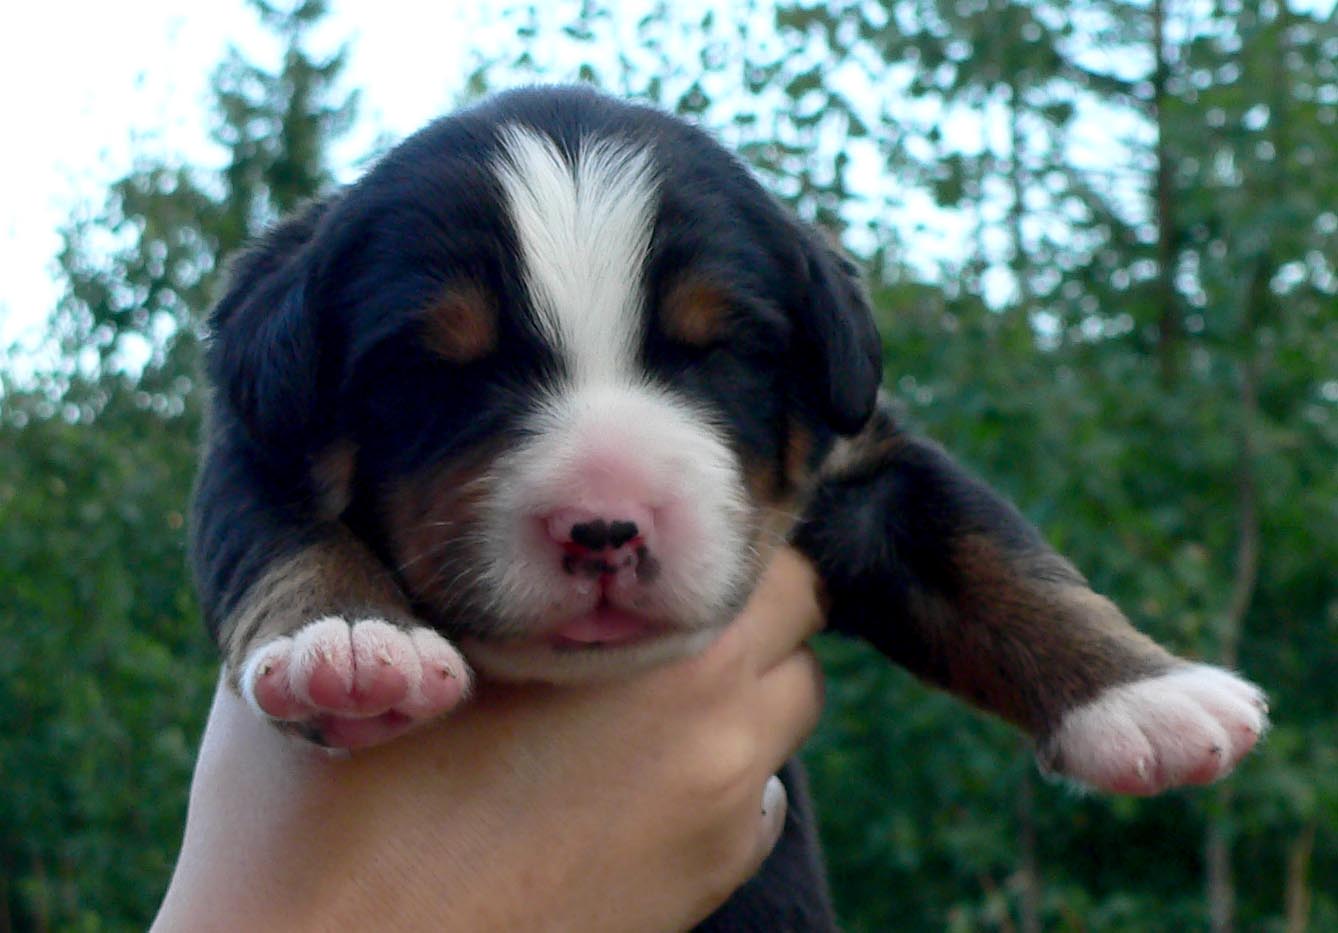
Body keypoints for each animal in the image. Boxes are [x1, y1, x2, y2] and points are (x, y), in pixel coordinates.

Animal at [190, 85, 1268, 929]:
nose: (604, 526)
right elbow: (283, 535)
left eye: (720, 352)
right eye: (432, 372)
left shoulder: (866, 470)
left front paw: (1144, 693)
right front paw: (348, 642)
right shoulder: (255, 442)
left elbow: (990, 555)